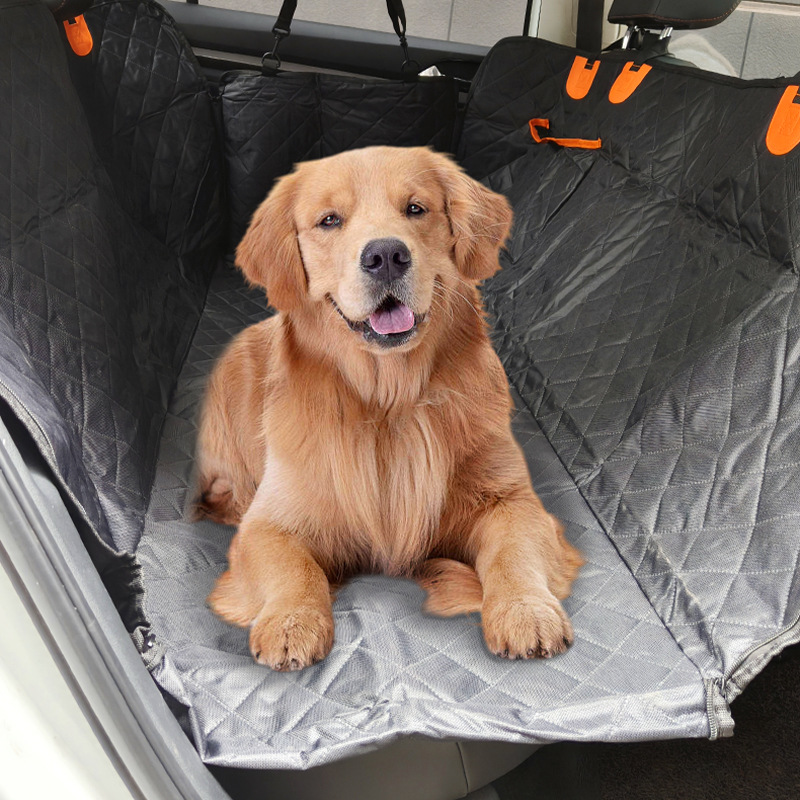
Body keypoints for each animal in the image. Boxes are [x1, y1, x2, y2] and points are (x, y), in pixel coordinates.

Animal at [196, 146, 583, 671]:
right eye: (329, 220)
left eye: (415, 209)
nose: (385, 256)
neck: (391, 401)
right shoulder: (268, 522)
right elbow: (293, 567)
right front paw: (292, 622)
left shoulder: (511, 500)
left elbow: (513, 552)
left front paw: (525, 611)